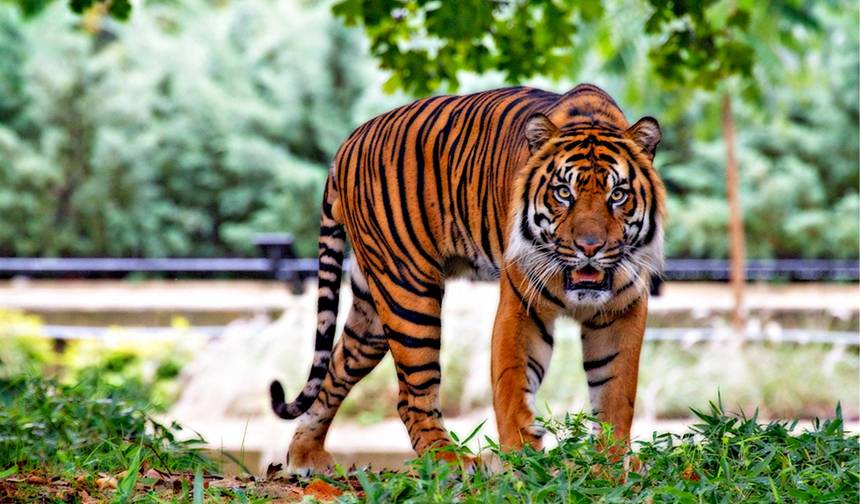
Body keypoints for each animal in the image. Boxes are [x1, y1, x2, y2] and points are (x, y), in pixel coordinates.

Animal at [270, 83, 665, 474]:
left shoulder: (623, 310)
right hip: (409, 293)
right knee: (411, 396)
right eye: (563, 193)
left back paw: (305, 455)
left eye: (618, 195)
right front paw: (522, 461)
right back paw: (450, 460)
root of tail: (348, 142)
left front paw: (610, 463)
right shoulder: (521, 306)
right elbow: (513, 385)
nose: (589, 247)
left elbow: (616, 391)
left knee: (336, 368)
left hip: (372, 312)